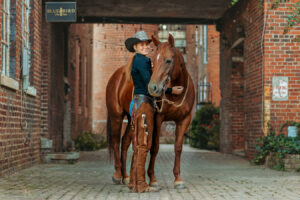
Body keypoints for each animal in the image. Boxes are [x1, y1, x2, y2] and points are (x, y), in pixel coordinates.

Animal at [106, 33, 196, 188]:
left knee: (124, 142)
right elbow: (154, 147)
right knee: (116, 141)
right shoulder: (158, 119)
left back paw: (126, 176)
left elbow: (178, 147)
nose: (153, 87)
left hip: (131, 118)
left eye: (168, 60)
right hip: (116, 116)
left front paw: (178, 179)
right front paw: (153, 179)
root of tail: (116, 76)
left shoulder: (184, 120)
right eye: (152, 60)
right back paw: (117, 175)